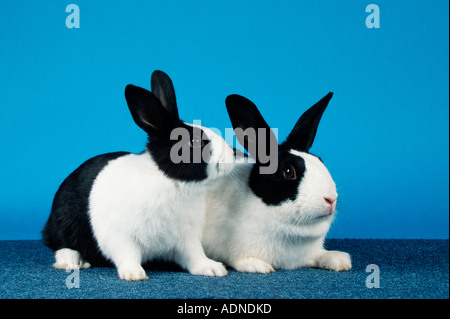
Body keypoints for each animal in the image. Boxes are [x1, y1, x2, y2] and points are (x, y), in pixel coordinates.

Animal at [42, 71, 236, 282]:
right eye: (194, 142)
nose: (232, 155)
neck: (173, 183)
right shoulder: (121, 236)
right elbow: (127, 254)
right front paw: (133, 274)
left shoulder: (186, 238)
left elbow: (194, 256)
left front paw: (213, 268)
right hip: (64, 224)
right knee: (60, 245)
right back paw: (72, 262)